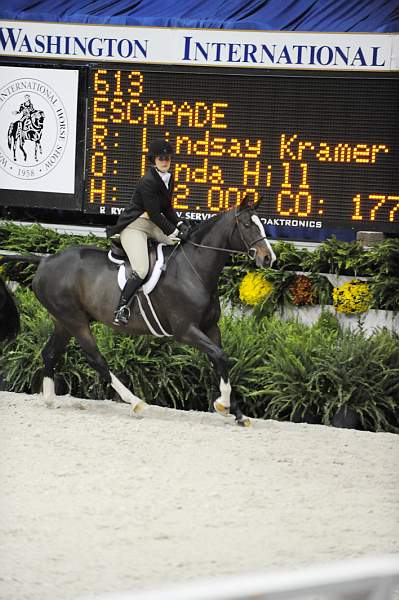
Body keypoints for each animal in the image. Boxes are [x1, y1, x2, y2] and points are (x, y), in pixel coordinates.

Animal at [0, 199, 276, 424]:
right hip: (75, 320)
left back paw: (49, 400)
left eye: (262, 225)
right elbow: (220, 356)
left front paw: (237, 413)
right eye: (247, 225)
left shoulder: (210, 328)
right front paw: (223, 405)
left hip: (63, 321)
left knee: (49, 354)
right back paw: (136, 402)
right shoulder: (186, 330)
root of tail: (45, 260)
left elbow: (220, 361)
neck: (194, 269)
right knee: (96, 359)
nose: (268, 258)